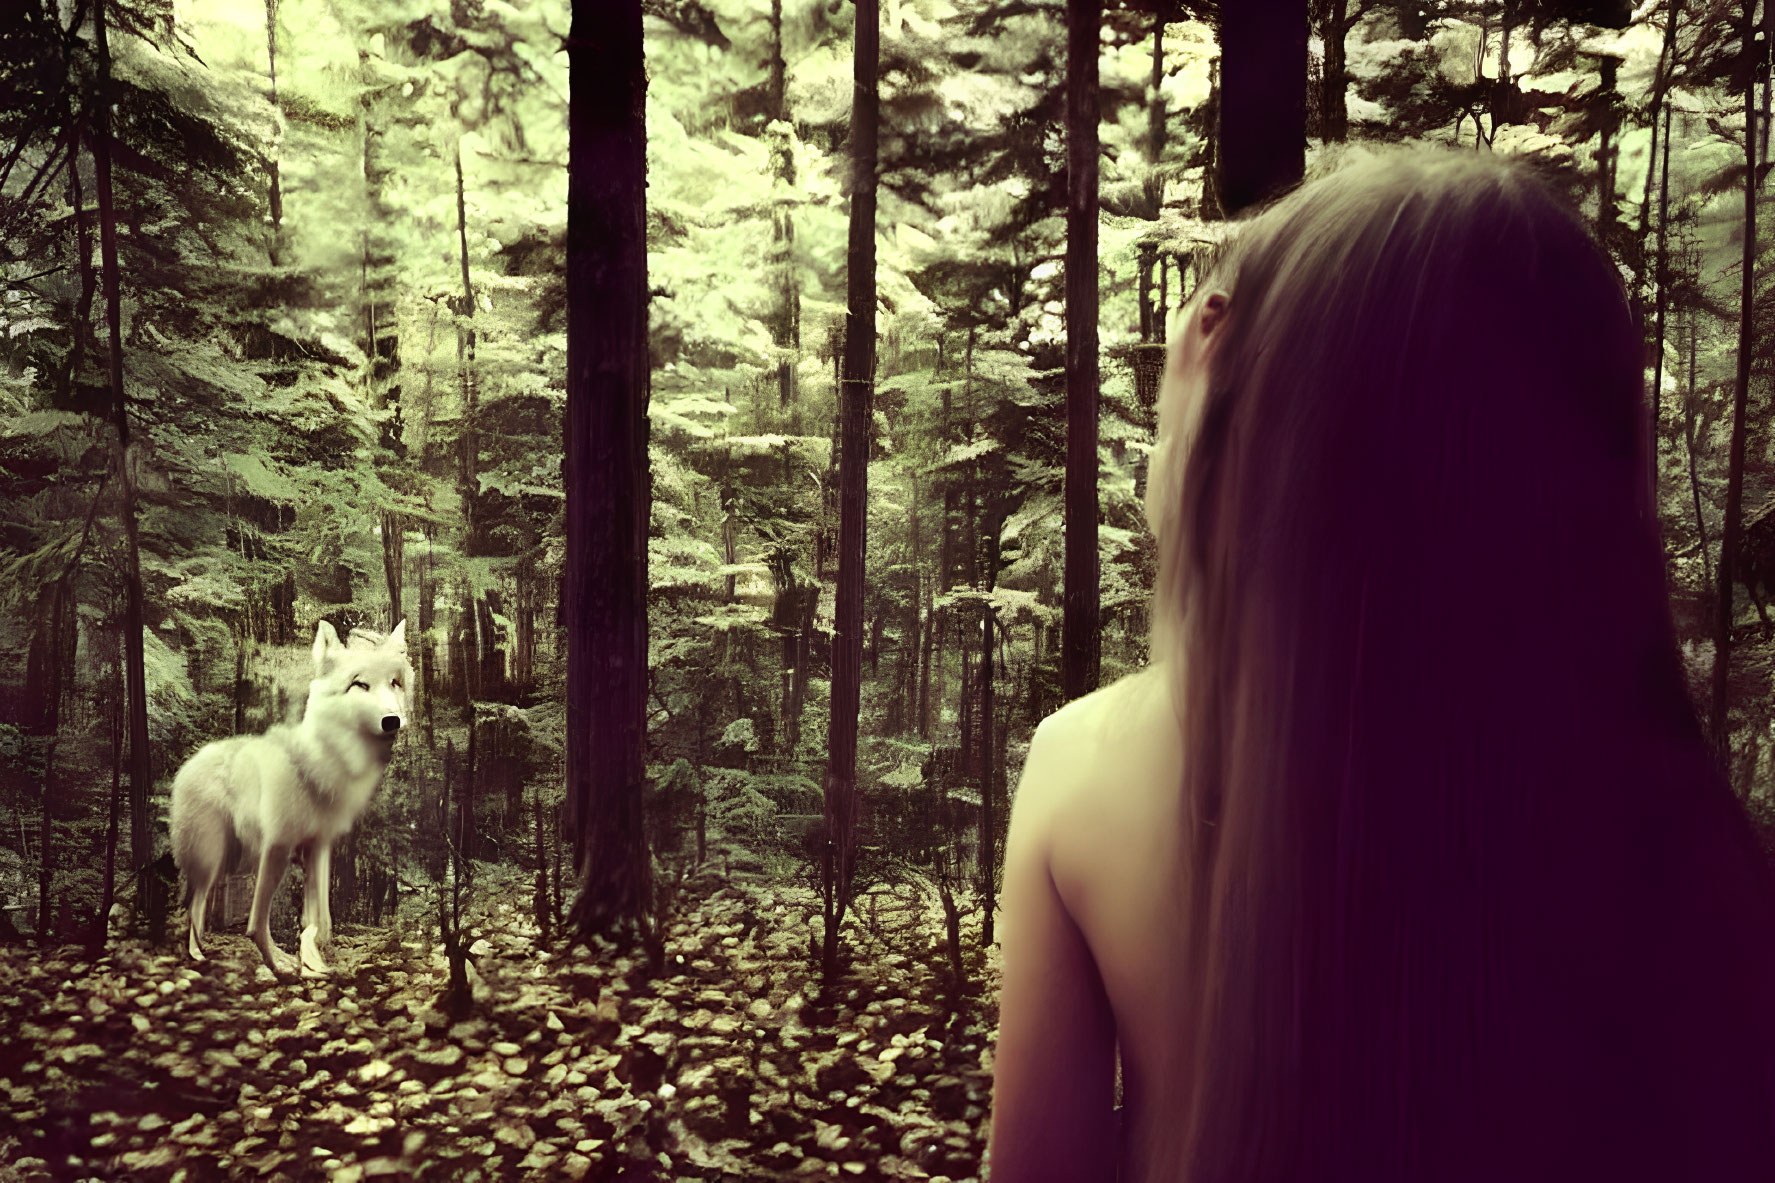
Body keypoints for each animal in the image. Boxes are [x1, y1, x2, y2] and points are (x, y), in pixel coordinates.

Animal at [169, 611, 411, 973]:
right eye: (359, 684)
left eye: (394, 683)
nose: (392, 721)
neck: (322, 762)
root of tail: (190, 761)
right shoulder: (278, 845)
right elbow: (256, 924)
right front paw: (283, 966)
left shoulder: (319, 845)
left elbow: (319, 920)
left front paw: (316, 961)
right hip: (215, 858)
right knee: (195, 906)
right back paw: (204, 957)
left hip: (229, 862)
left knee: (196, 908)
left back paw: (199, 953)